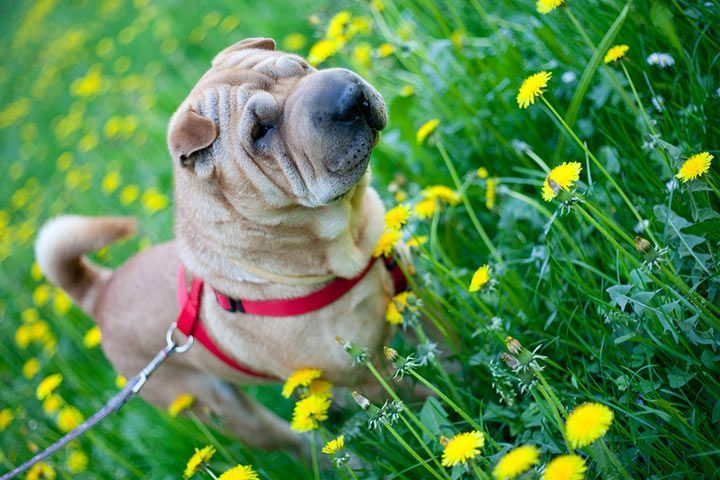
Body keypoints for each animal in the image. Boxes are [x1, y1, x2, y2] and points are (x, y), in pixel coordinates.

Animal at [38, 38, 400, 454]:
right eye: (260, 131)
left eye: (302, 67)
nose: (349, 95)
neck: (348, 241)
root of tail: (100, 290)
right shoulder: (368, 373)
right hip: (223, 407)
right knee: (289, 441)